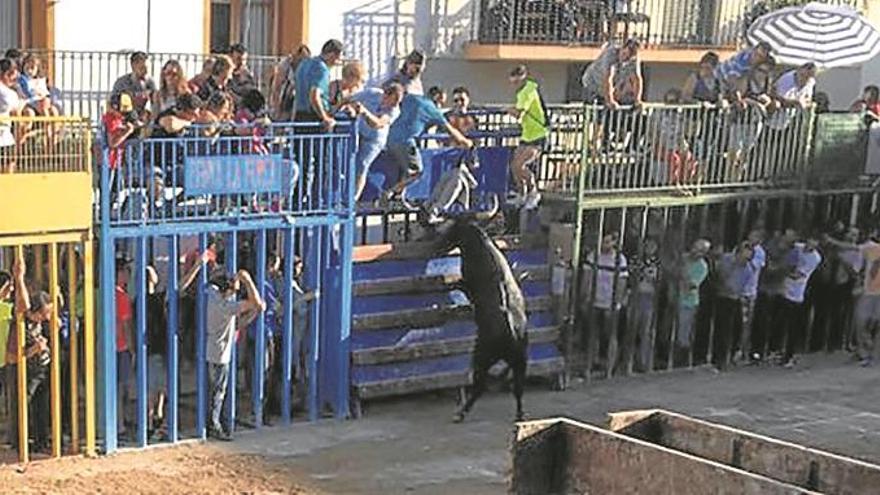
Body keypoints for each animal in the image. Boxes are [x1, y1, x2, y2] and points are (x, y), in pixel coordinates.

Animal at [438, 221, 528, 422]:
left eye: (451, 228)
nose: (440, 243)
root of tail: (512, 333)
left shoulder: (467, 284)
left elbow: (458, 283)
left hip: (481, 357)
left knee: (480, 386)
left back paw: (461, 413)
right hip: (520, 361)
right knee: (518, 389)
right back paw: (519, 416)